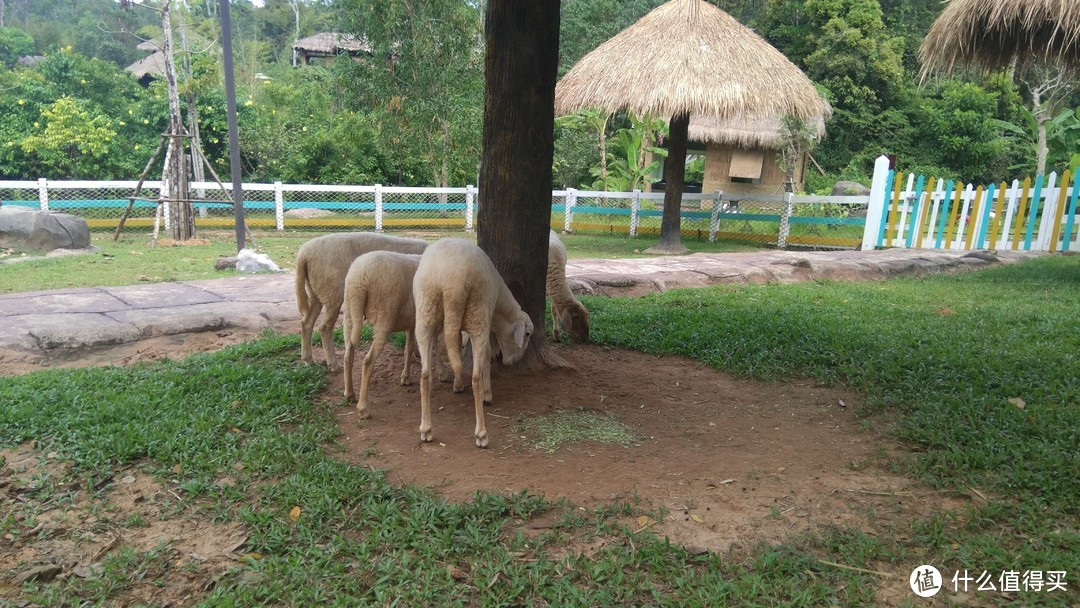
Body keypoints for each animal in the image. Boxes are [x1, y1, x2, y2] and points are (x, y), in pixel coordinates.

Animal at [298, 232, 432, 371]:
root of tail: (304, 254)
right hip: (333, 293)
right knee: (324, 328)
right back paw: (333, 364)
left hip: (315, 291)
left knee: (306, 323)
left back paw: (308, 360)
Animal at [341, 250, 421, 419]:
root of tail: (359, 277)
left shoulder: (411, 321)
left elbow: (408, 347)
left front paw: (406, 377)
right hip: (384, 314)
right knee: (368, 361)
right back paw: (363, 409)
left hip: (349, 310)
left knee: (348, 355)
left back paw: (349, 394)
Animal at [410, 237, 533, 447]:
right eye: (527, 334)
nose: (514, 362)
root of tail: (452, 282)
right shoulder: (487, 317)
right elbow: (487, 355)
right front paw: (487, 394)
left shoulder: (454, 326)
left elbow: (456, 349)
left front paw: (457, 384)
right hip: (478, 313)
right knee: (475, 377)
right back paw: (481, 434)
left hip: (426, 311)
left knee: (425, 375)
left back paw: (426, 430)